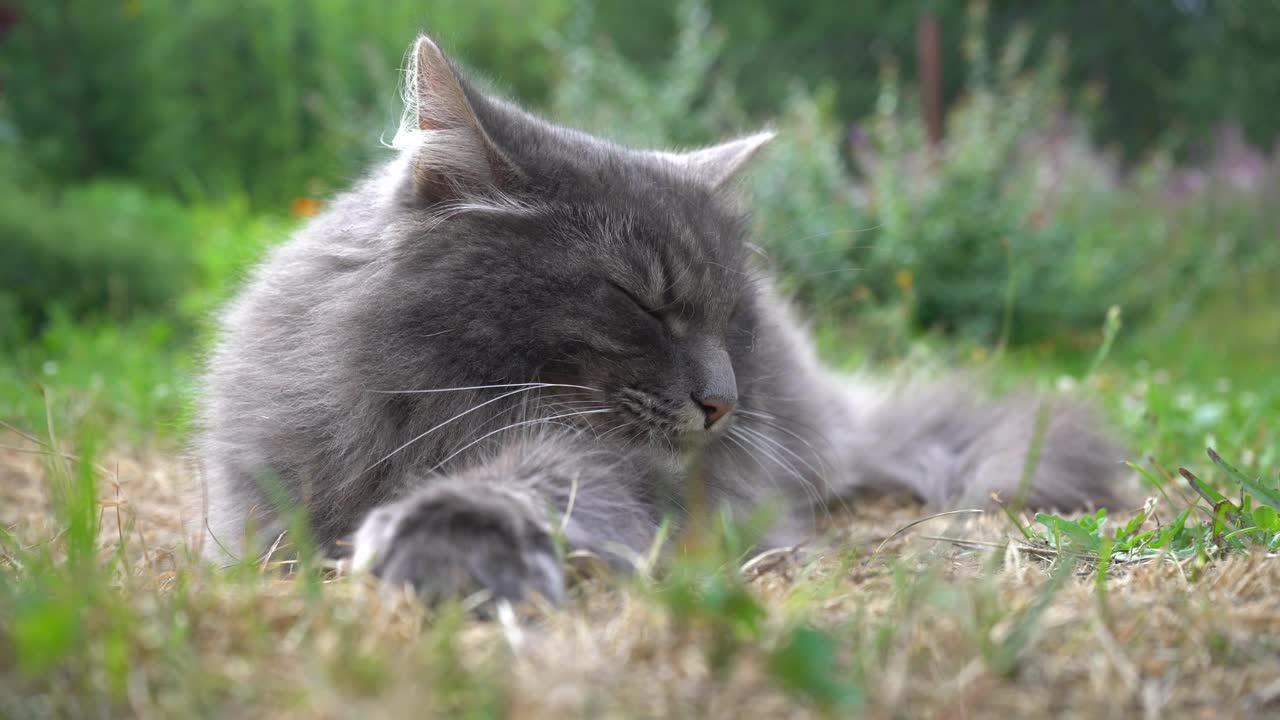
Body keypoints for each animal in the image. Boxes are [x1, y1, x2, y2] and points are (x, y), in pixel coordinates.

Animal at [194, 36, 1126, 602]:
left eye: (733, 318)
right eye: (643, 301)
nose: (724, 401)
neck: (410, 412)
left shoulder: (607, 469)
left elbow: (531, 483)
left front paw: (445, 539)